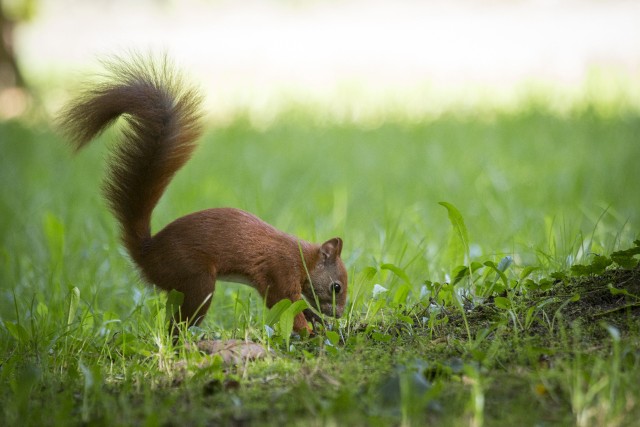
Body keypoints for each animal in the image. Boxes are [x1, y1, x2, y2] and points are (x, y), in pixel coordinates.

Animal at [59, 56, 348, 338]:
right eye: (336, 287)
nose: (339, 314)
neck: (302, 257)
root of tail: (146, 253)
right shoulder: (280, 270)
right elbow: (284, 303)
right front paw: (308, 331)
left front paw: (315, 319)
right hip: (197, 279)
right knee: (179, 325)